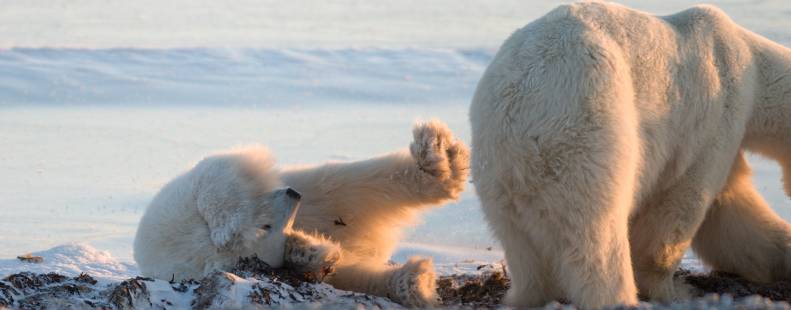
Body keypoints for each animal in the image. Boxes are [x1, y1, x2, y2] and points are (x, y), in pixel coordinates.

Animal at [136, 120, 470, 306]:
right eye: (267, 226)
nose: (292, 195)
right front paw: (309, 251)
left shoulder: (181, 194)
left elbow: (218, 176)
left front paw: (228, 223)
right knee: (355, 268)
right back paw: (412, 281)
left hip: (318, 189)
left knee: (352, 182)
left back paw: (436, 157)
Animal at [470, 1, 791, 308]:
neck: (752, 65)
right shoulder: (718, 110)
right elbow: (683, 202)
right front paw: (673, 289)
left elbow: (731, 212)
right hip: (588, 131)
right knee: (599, 235)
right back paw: (619, 297)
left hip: (498, 179)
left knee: (526, 255)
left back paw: (527, 295)